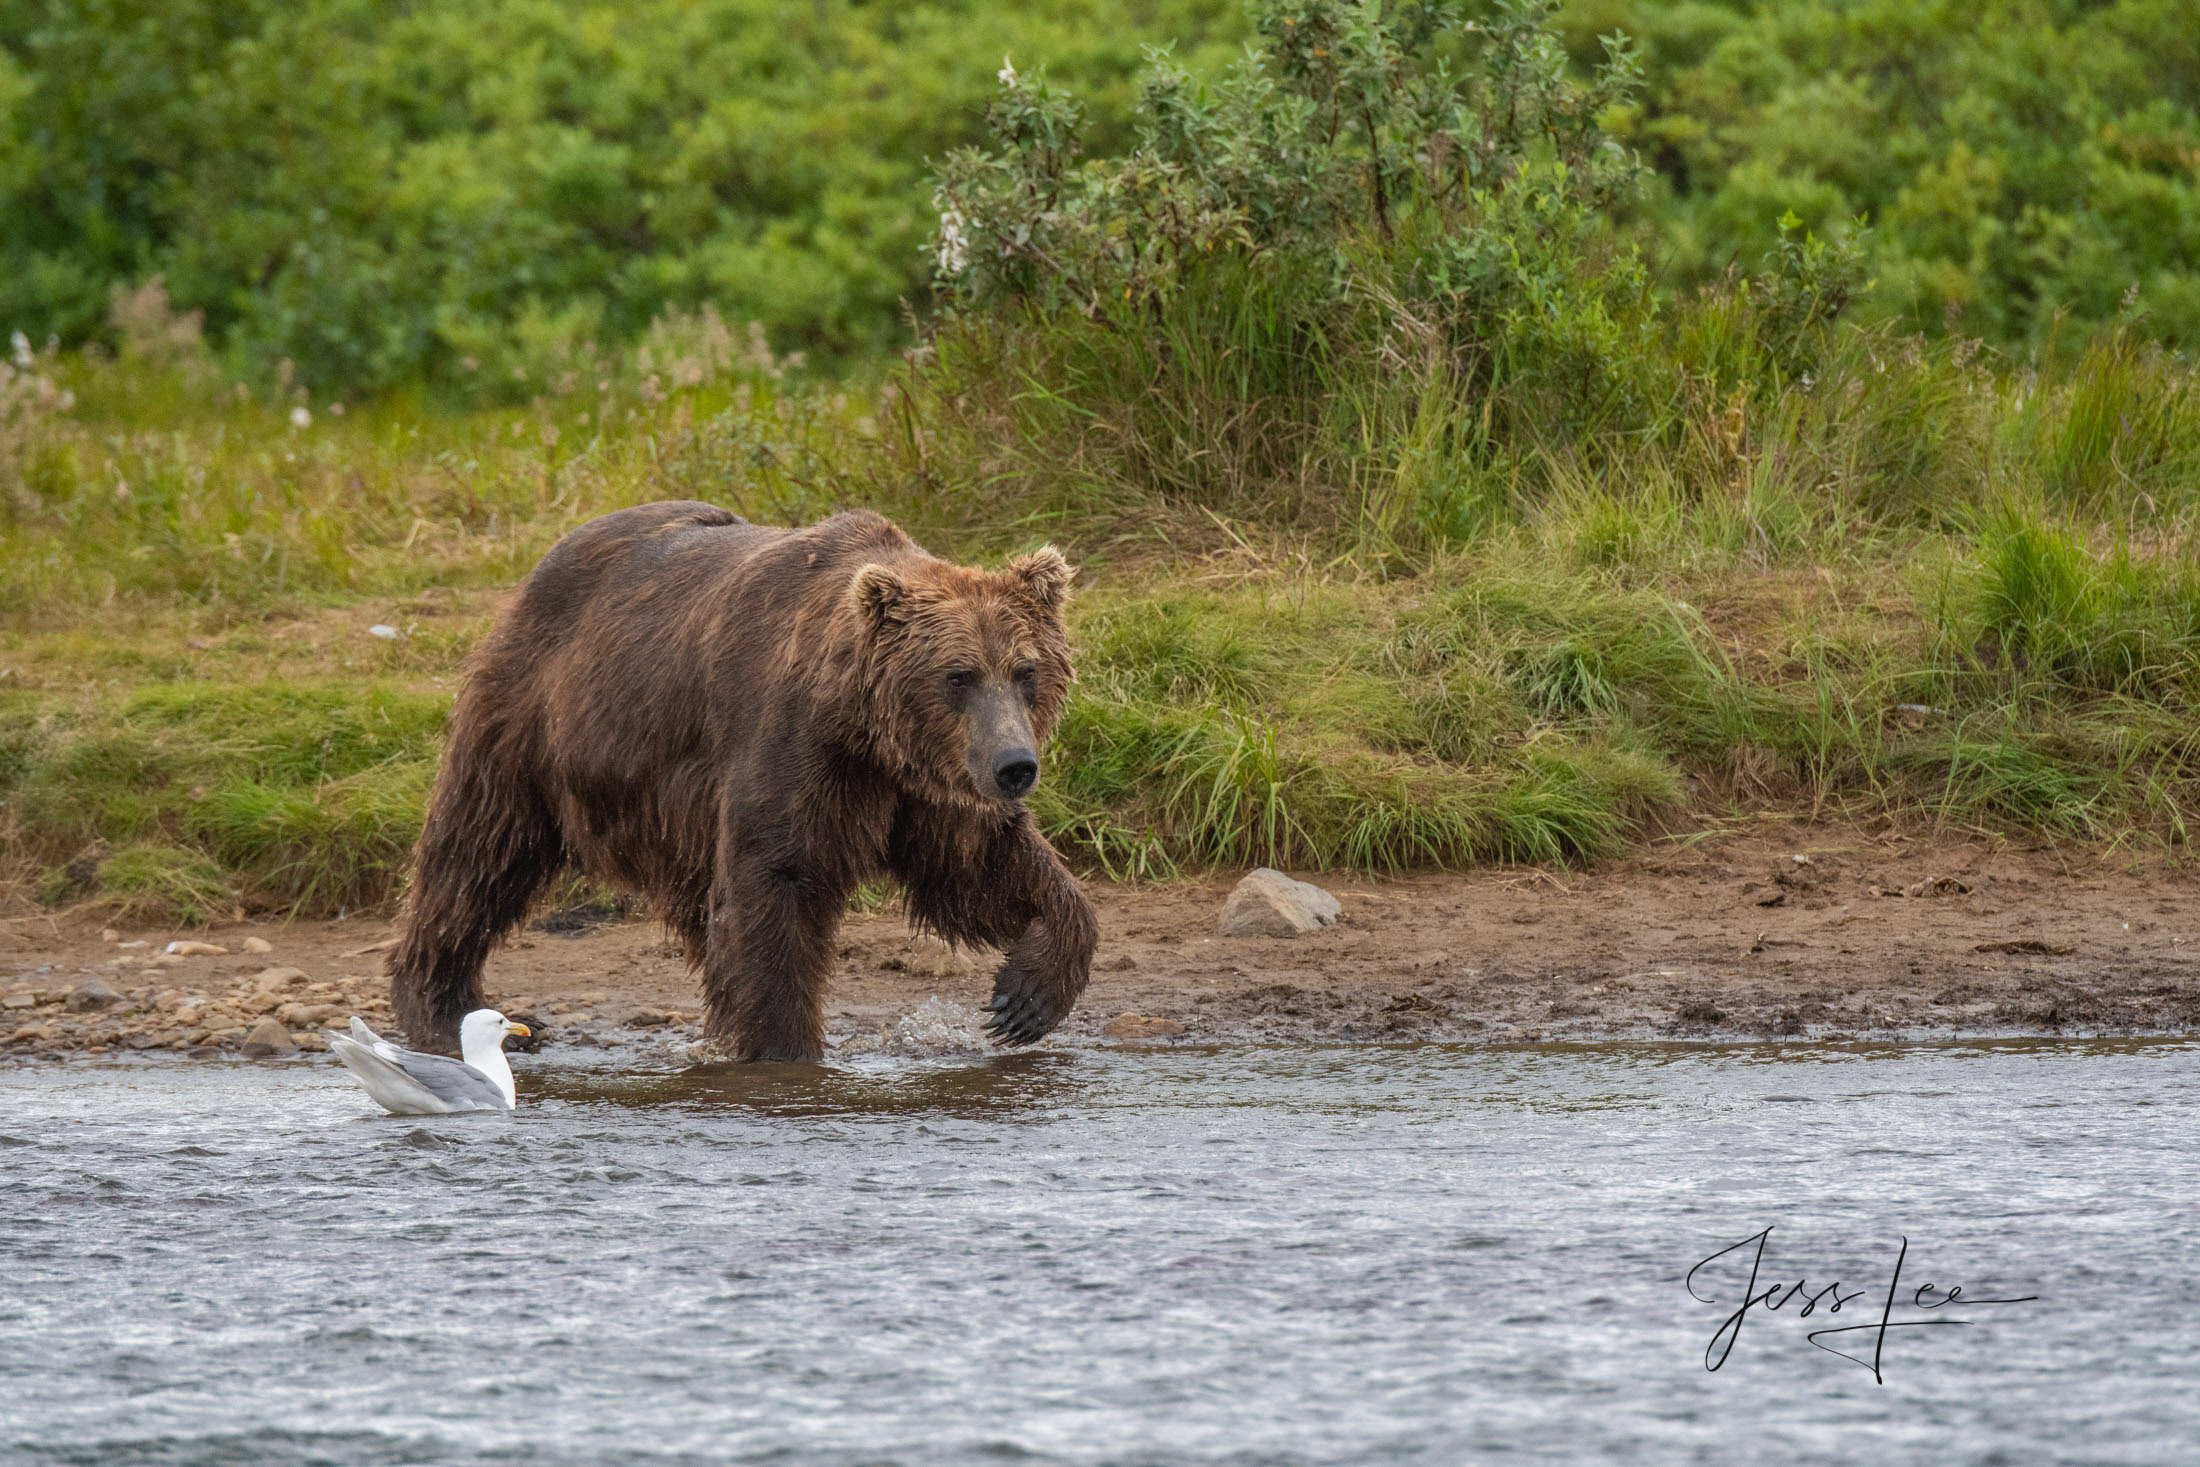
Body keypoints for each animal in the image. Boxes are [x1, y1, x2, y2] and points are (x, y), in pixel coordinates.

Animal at [391, 501, 1095, 1055]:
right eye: (957, 676)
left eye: (1026, 670)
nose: (1015, 767)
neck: (869, 730)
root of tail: (544, 563)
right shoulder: (795, 747)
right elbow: (775, 884)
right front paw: (786, 1051)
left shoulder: (925, 784)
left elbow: (980, 867)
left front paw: (1025, 997)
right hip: (530, 718)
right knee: (479, 852)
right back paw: (446, 1004)